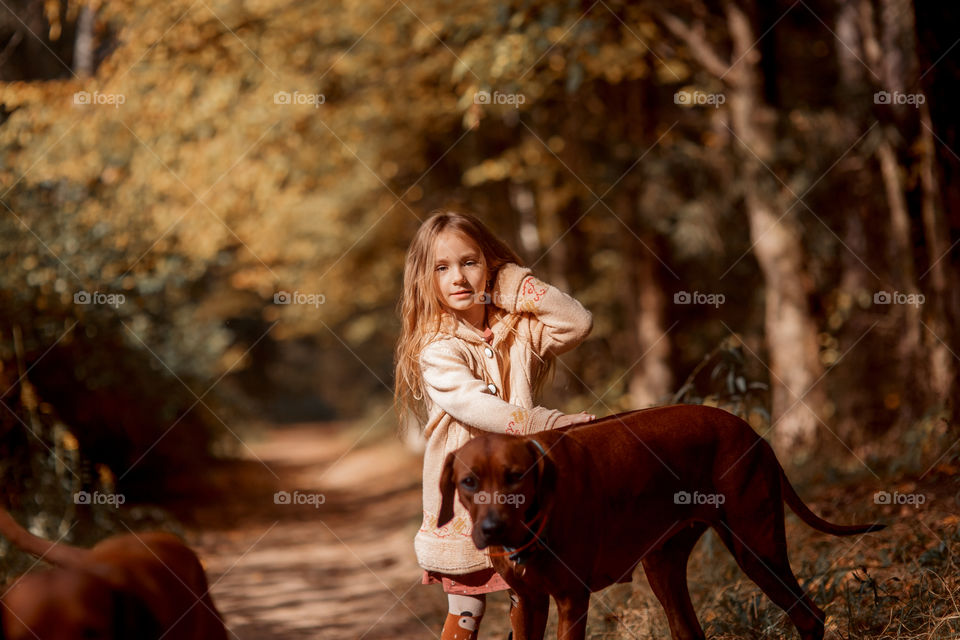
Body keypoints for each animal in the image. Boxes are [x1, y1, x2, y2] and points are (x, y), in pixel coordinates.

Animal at [436, 404, 884, 640]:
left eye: (516, 476)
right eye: (469, 482)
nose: (492, 530)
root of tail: (755, 435)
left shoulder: (571, 600)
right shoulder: (526, 602)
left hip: (757, 549)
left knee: (809, 615)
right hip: (663, 564)